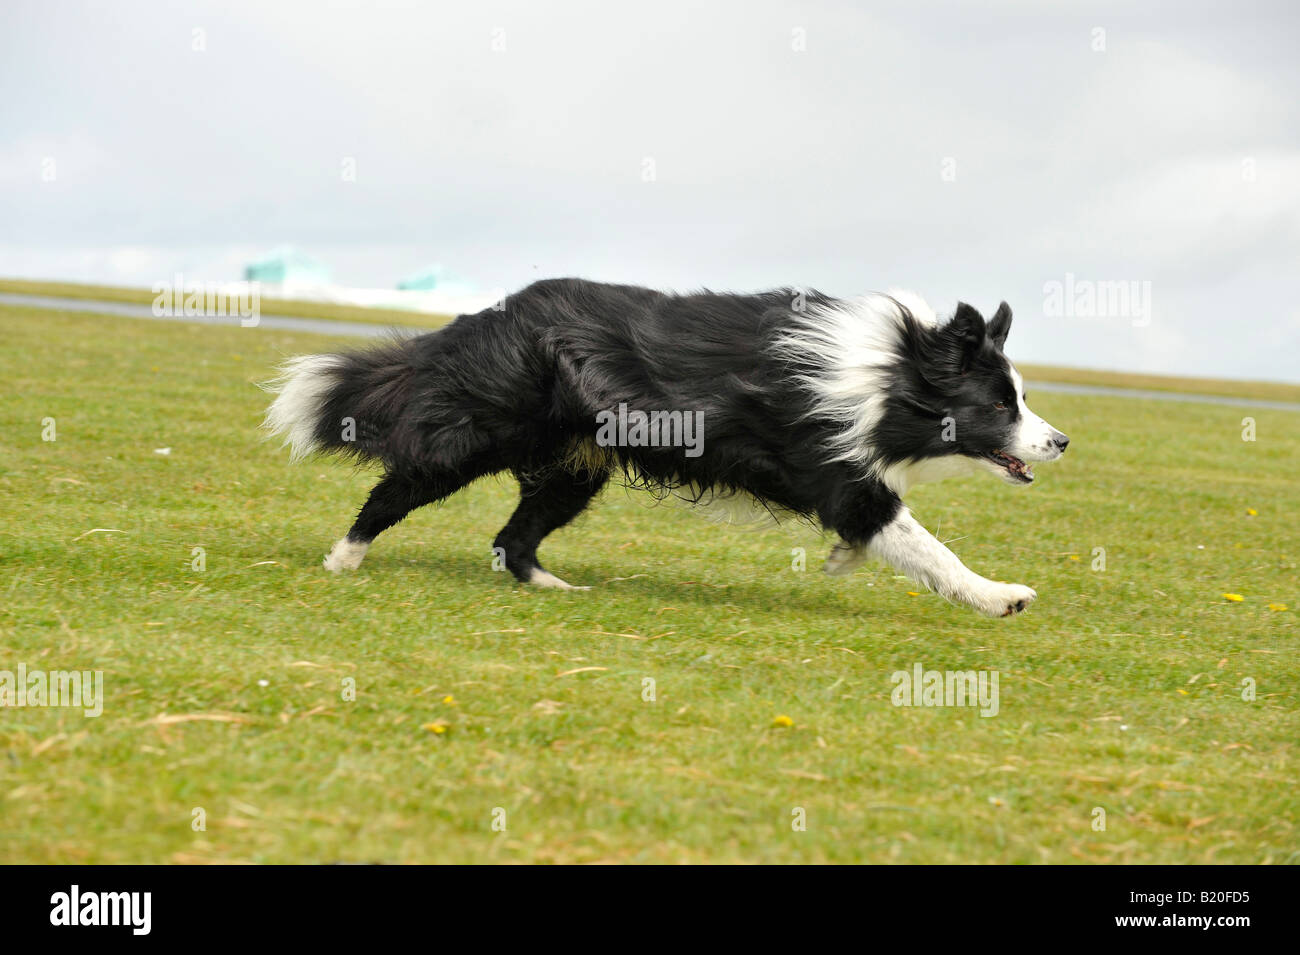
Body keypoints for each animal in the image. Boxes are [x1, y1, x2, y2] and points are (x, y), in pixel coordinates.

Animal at [263, 280, 1066, 615]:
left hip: (574, 469)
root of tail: (486, 315)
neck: (892, 370)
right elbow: (926, 544)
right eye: (1001, 404)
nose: (1060, 440)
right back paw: (345, 557)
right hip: (478, 434)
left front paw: (845, 558)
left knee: (511, 536)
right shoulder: (832, 467)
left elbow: (888, 531)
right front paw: (1002, 596)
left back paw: (554, 586)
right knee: (397, 488)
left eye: (1021, 398)